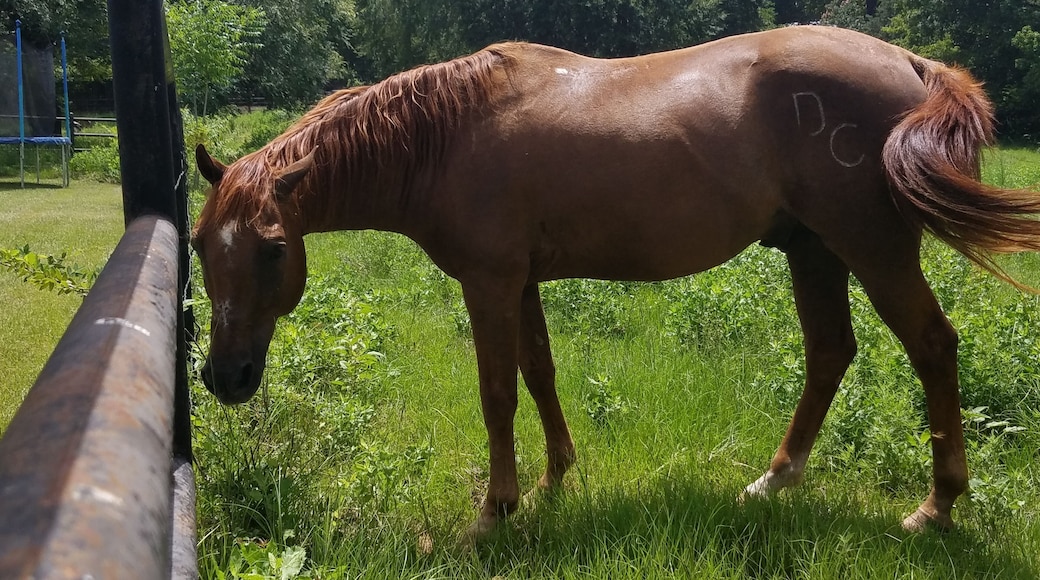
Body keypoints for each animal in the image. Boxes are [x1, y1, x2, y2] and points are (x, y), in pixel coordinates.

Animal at [191, 25, 1040, 539]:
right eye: (199, 243)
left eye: (273, 248)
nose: (226, 377)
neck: (445, 135)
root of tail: (911, 63)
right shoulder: (520, 281)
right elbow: (539, 373)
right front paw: (554, 480)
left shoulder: (488, 283)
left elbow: (497, 393)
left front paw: (495, 512)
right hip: (814, 249)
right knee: (830, 351)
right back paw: (774, 481)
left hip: (873, 250)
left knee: (932, 347)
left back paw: (937, 506)